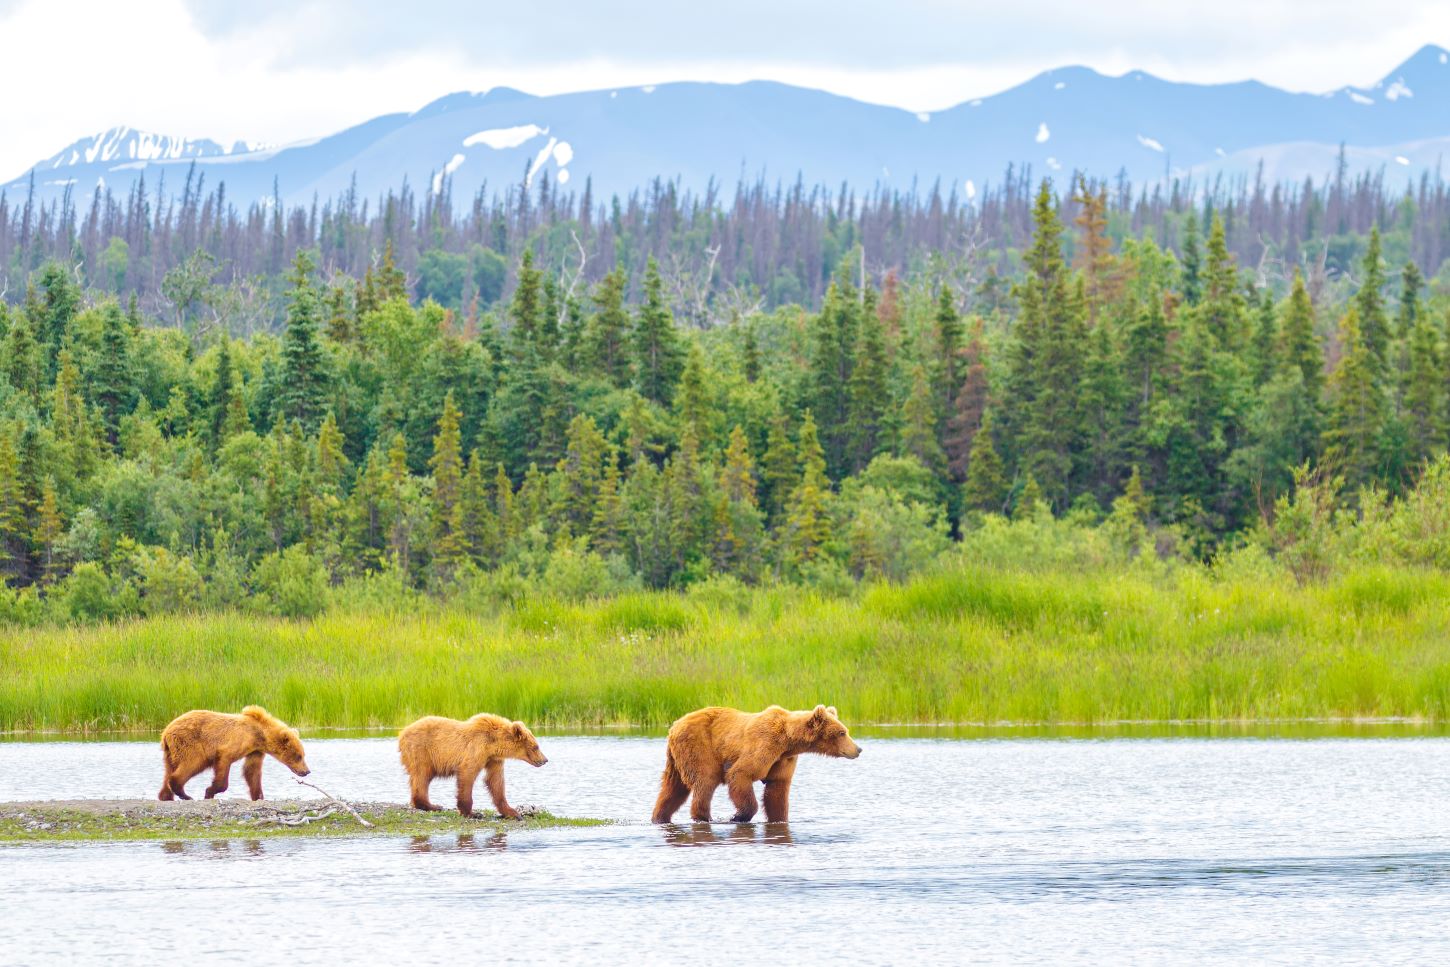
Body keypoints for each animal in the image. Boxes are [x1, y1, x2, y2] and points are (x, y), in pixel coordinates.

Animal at [155, 704, 308, 800]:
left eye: (302, 755)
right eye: (298, 756)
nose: (307, 771)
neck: (259, 735)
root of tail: (166, 731)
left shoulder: (255, 751)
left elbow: (252, 771)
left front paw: (258, 796)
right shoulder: (235, 743)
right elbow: (225, 762)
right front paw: (209, 792)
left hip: (171, 752)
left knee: (169, 769)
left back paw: (166, 796)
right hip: (190, 743)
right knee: (193, 763)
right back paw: (184, 794)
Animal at [397, 716, 548, 823]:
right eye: (536, 746)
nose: (545, 760)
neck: (493, 743)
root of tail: (402, 732)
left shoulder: (493, 759)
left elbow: (495, 781)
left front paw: (513, 813)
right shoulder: (477, 748)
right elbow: (467, 774)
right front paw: (472, 813)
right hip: (422, 750)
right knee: (422, 776)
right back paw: (432, 805)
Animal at [649, 704, 858, 823]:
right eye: (842, 733)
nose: (858, 749)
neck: (788, 741)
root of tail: (674, 726)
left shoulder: (782, 759)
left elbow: (777, 790)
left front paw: (779, 818)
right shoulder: (764, 745)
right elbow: (740, 774)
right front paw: (738, 816)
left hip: (676, 758)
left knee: (673, 788)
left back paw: (660, 817)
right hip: (699, 747)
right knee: (705, 781)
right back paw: (703, 817)